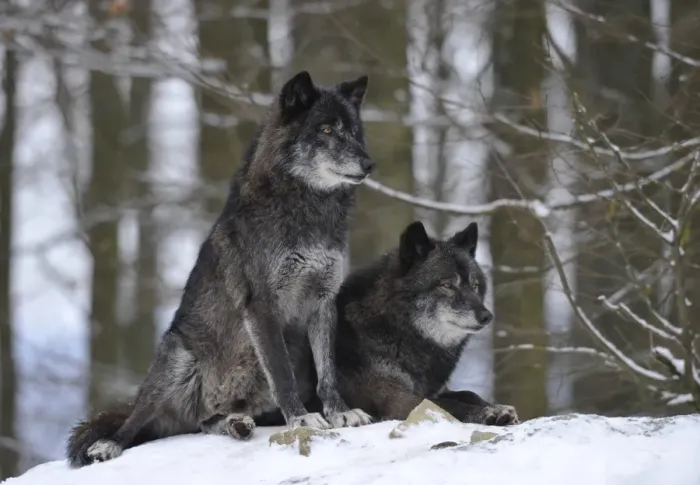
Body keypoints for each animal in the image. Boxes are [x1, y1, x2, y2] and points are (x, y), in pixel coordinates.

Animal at [67, 70, 374, 467]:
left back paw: (236, 423)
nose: (369, 165)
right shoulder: (261, 308)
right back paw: (110, 444)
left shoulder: (323, 301)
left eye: (354, 131)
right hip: (177, 358)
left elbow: (328, 373)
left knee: (205, 421)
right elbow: (283, 376)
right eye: (326, 130)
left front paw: (340, 412)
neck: (308, 211)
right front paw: (303, 418)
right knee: (137, 420)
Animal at [333, 220, 519, 425]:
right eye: (447, 285)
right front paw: (486, 413)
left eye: (475, 285)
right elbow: (445, 405)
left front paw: (496, 407)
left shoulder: (434, 389)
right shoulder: (395, 399)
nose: (487, 316)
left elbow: (468, 393)